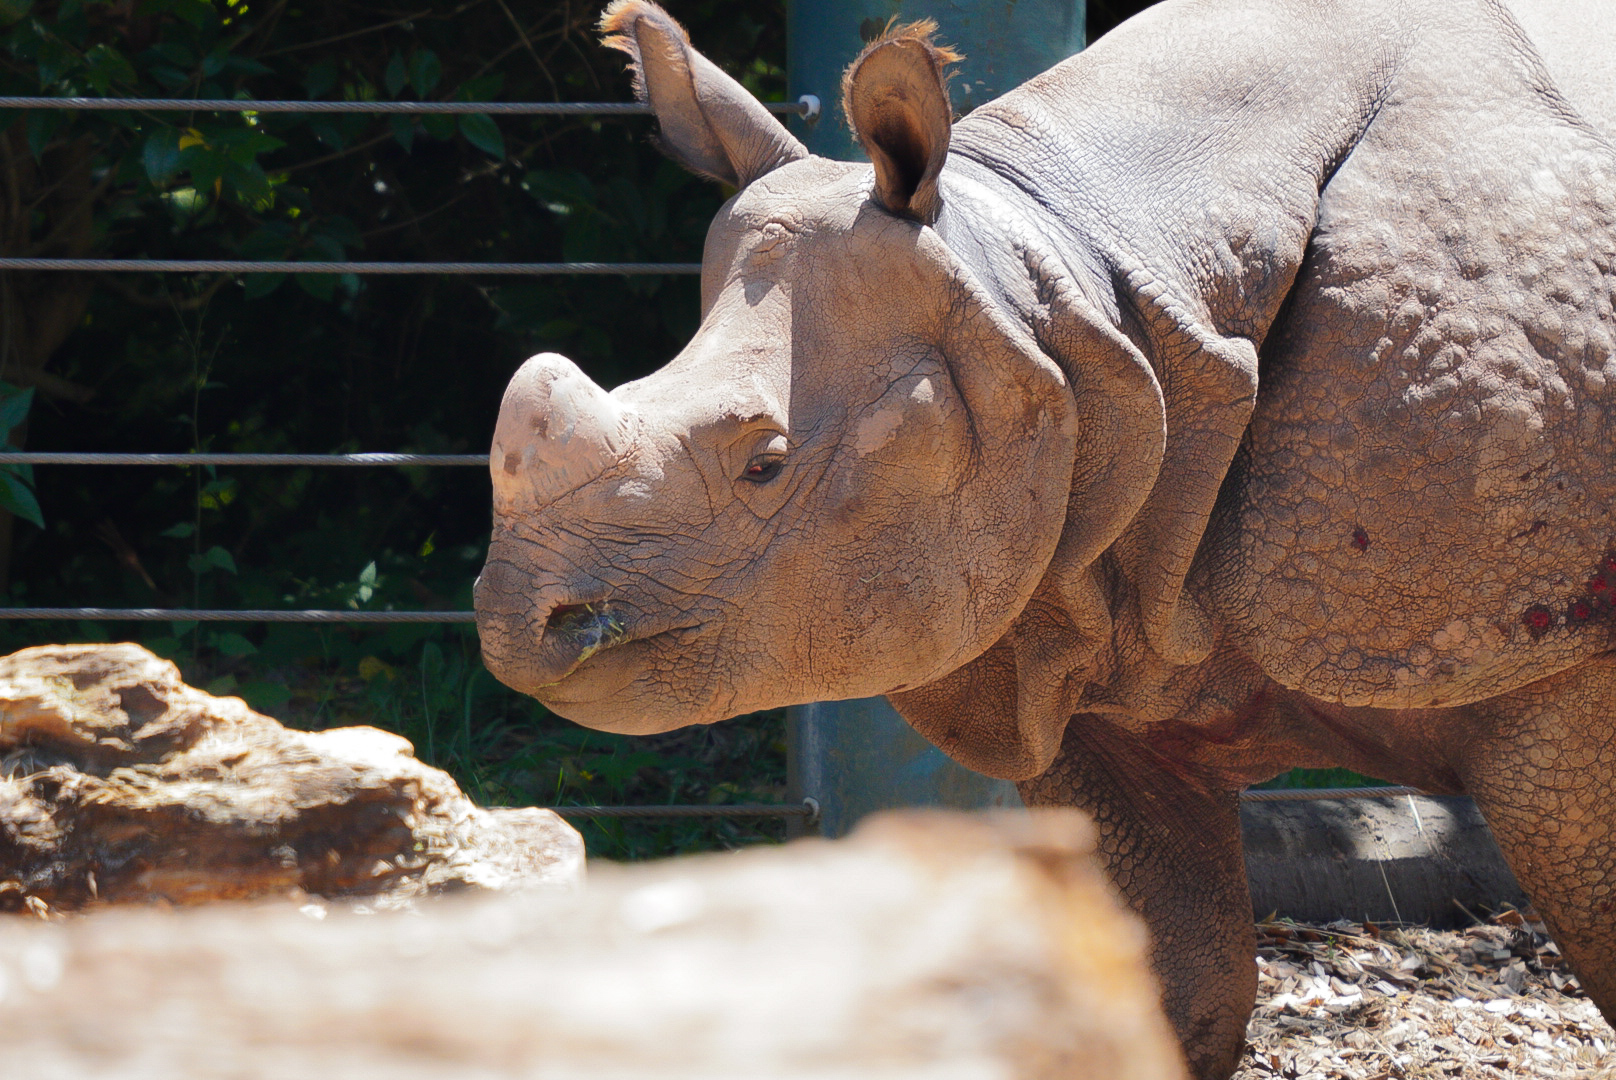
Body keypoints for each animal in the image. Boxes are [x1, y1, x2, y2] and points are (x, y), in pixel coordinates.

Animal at [474, 0, 1616, 1074]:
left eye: (764, 459)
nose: (515, 625)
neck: (1082, 279)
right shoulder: (1091, 636)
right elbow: (1173, 983)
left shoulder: (1559, 659)